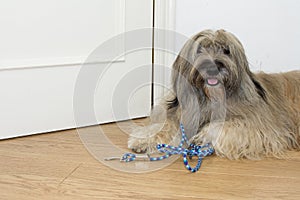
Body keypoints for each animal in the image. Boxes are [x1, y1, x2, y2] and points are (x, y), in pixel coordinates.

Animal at [128, 29, 300, 159]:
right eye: (199, 49)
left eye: (226, 50)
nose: (213, 67)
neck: (211, 98)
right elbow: (166, 124)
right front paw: (142, 139)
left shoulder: (261, 129)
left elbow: (228, 126)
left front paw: (203, 136)